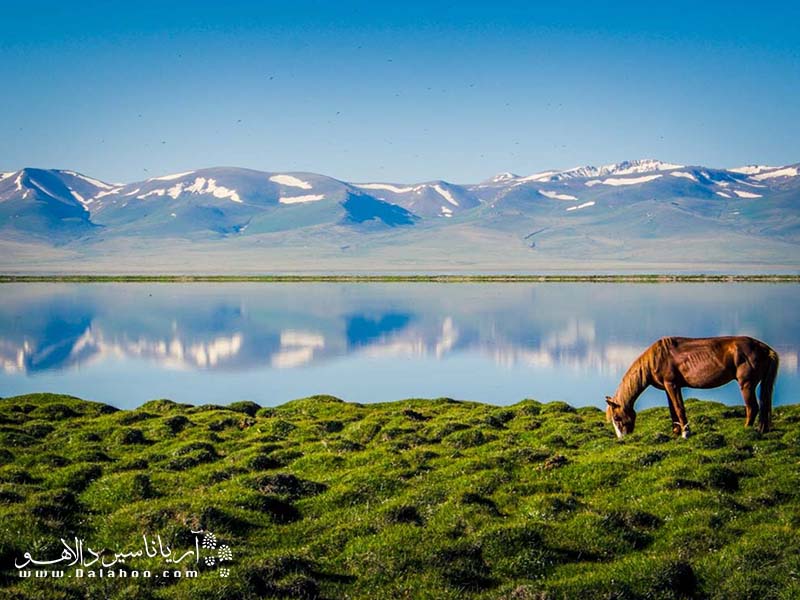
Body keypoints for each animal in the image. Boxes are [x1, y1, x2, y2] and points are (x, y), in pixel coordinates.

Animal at [604, 336, 780, 438]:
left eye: (617, 418)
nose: (622, 438)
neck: (655, 359)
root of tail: (766, 349)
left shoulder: (672, 384)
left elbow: (679, 408)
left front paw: (685, 432)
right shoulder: (668, 387)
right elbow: (672, 410)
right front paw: (676, 432)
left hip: (746, 384)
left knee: (753, 407)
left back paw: (746, 429)